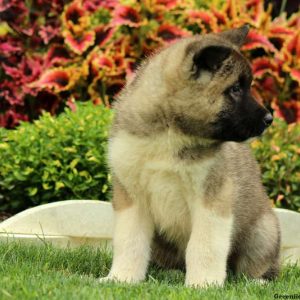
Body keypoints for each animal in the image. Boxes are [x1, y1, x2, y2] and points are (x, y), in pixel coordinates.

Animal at [102, 25, 280, 288]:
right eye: (235, 89)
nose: (269, 119)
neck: (169, 133)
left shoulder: (212, 199)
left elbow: (204, 246)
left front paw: (203, 284)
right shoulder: (132, 197)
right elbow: (129, 241)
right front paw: (122, 278)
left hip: (263, 231)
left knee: (255, 266)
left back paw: (256, 282)